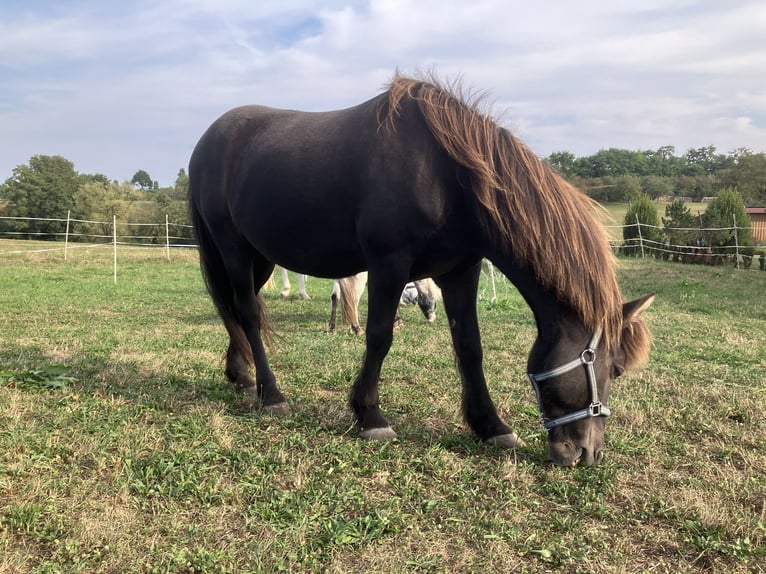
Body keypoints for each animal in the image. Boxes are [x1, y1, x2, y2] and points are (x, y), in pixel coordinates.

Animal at [188, 73, 656, 468]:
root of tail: (207, 140)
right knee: (248, 313)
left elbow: (469, 346)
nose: (587, 454)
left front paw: (492, 426)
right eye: (613, 369)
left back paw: (242, 374)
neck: (446, 174)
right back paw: (270, 394)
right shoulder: (388, 264)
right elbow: (379, 336)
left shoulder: (461, 270)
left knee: (235, 309)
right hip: (232, 248)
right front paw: (370, 415)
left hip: (260, 257)